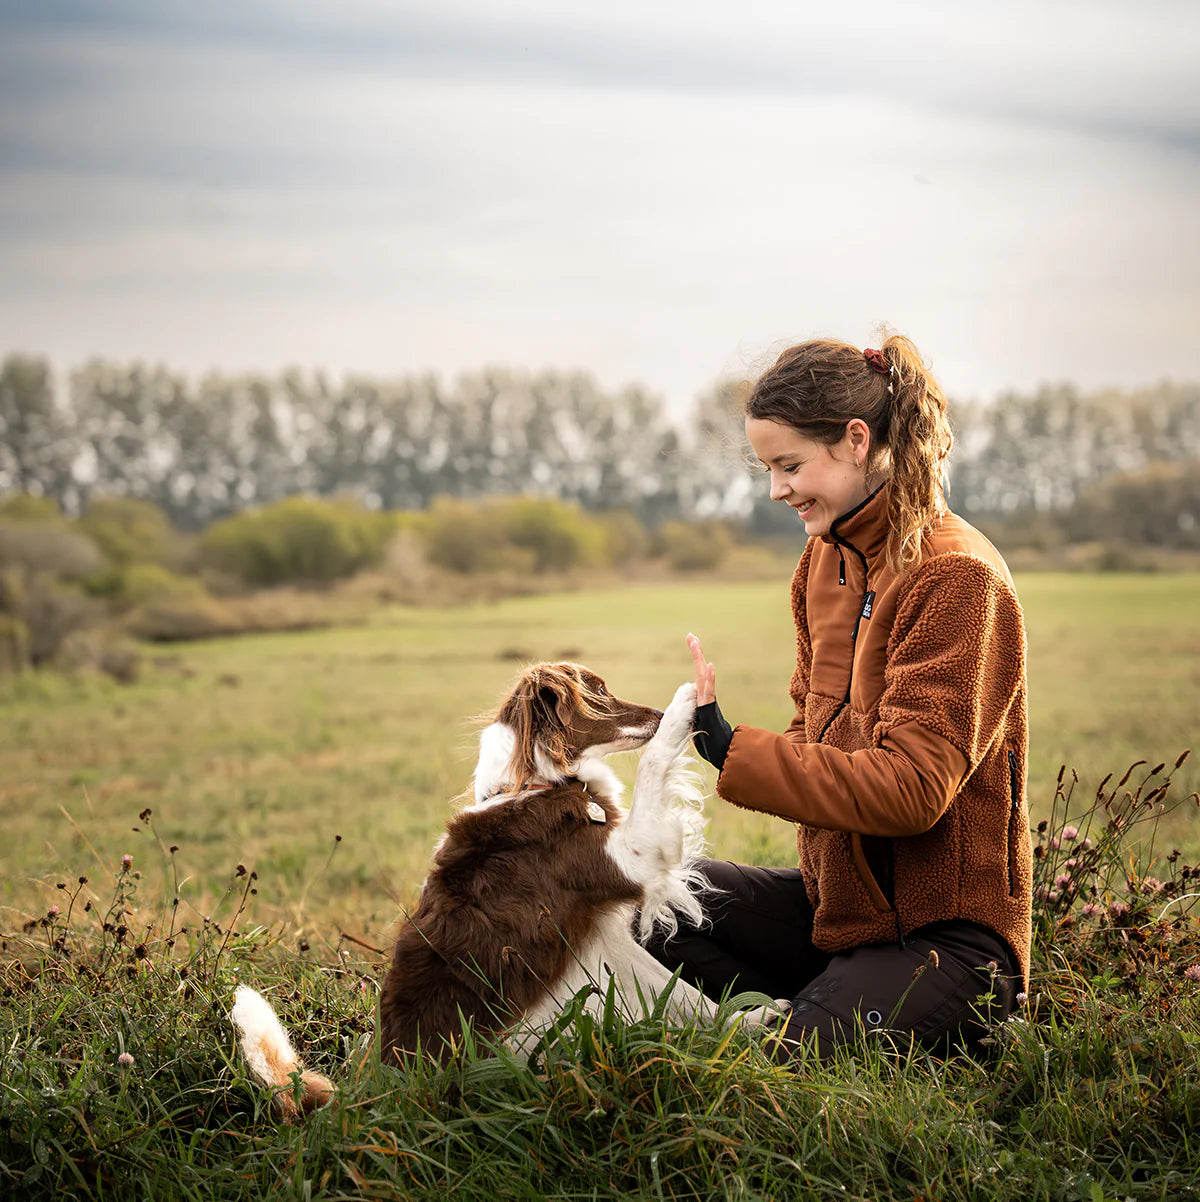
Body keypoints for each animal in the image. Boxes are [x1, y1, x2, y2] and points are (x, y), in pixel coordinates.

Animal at [234, 663, 721, 1110]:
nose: (657, 713)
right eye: (598, 691)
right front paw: (686, 701)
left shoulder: (601, 936)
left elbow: (687, 996)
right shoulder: (634, 856)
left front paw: (736, 1026)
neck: (534, 783)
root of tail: (374, 1090)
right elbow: (654, 762)